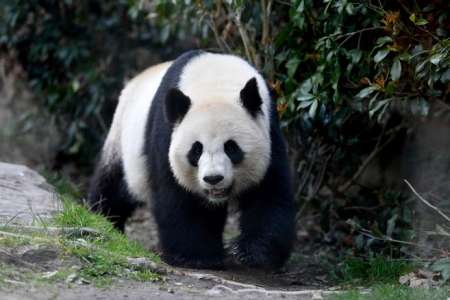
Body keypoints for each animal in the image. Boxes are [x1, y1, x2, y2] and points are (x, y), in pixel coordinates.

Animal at [89, 49, 298, 270]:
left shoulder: (270, 133)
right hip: (121, 139)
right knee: (112, 185)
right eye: (196, 150)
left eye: (231, 147)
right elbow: (178, 198)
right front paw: (197, 256)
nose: (213, 179)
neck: (215, 81)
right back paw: (103, 220)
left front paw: (253, 254)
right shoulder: (167, 134)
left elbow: (269, 192)